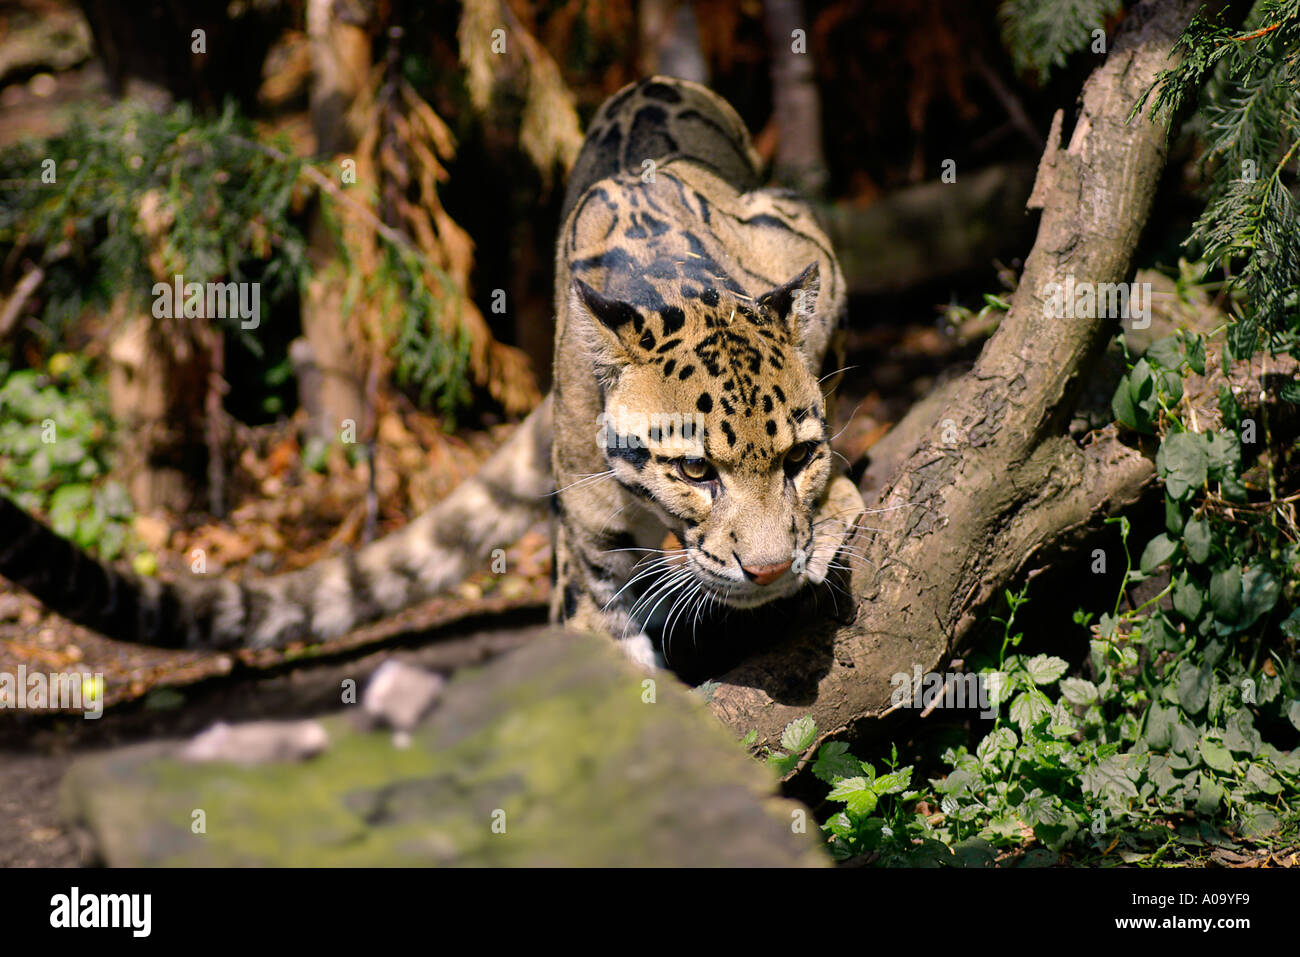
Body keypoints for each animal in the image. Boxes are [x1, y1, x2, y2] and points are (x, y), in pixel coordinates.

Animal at [0, 76, 865, 672]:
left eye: (797, 456)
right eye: (694, 470)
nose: (769, 567)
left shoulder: (805, 242)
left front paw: (830, 507)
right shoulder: (591, 575)